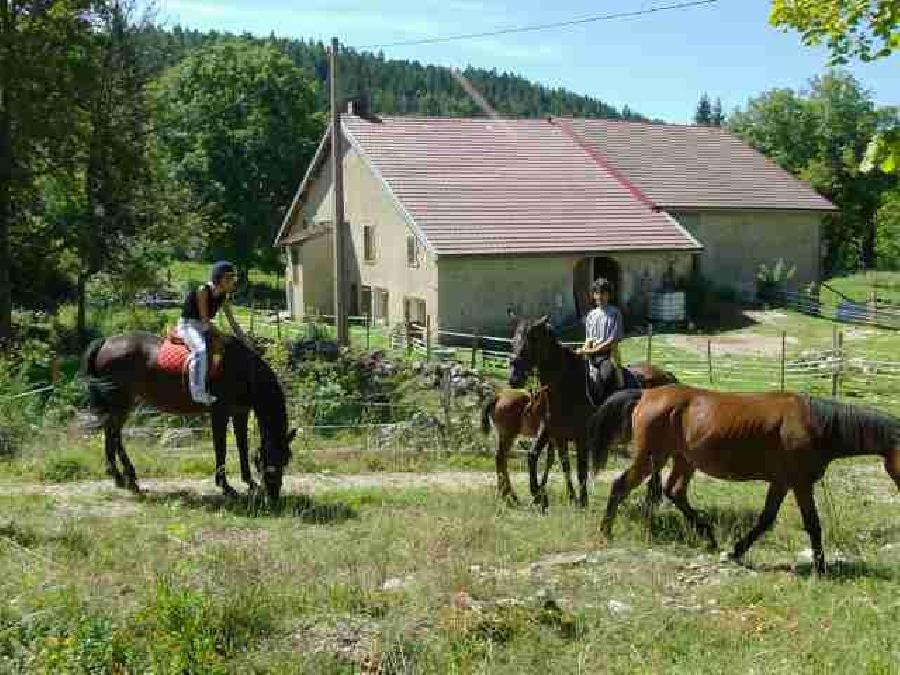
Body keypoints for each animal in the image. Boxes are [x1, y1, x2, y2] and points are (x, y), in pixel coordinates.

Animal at [81, 332, 296, 502]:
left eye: (286, 460)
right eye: (269, 461)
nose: (273, 495)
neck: (240, 368)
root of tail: (106, 342)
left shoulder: (240, 412)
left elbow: (242, 447)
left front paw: (250, 483)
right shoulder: (219, 413)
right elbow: (221, 449)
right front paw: (226, 487)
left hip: (124, 404)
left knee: (114, 433)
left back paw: (127, 478)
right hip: (120, 403)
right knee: (112, 433)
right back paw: (121, 477)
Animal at [506, 316, 676, 508]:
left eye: (532, 342)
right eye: (513, 342)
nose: (514, 378)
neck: (566, 384)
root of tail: (666, 375)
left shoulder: (581, 437)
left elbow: (581, 470)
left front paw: (582, 502)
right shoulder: (552, 431)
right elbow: (543, 458)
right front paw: (544, 496)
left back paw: (652, 500)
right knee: (656, 465)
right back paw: (652, 499)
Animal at [592, 388, 900, 572]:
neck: (815, 425)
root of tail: (646, 393)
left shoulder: (782, 483)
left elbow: (766, 519)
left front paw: (737, 550)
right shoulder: (800, 484)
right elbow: (812, 524)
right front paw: (821, 567)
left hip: (683, 460)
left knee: (674, 491)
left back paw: (708, 536)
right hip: (651, 458)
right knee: (620, 486)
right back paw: (605, 532)